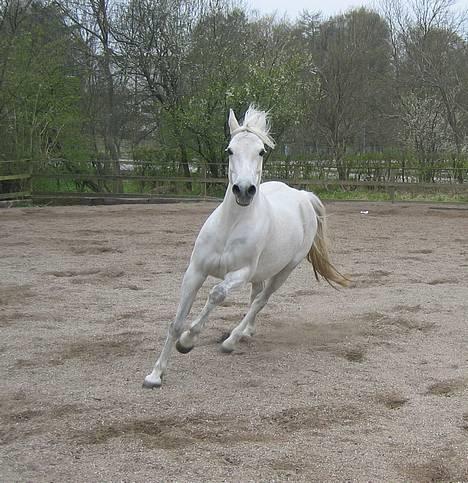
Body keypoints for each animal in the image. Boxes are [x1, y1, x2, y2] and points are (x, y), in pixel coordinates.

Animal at [143, 106, 348, 390]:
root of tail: (302, 196)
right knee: (256, 296)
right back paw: (246, 331)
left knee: (261, 300)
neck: (231, 226)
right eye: (229, 150)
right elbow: (176, 322)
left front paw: (187, 342)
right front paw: (155, 374)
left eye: (261, 151)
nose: (243, 190)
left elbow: (216, 294)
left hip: (285, 270)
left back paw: (232, 340)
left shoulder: (239, 274)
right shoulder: (195, 271)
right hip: (262, 271)